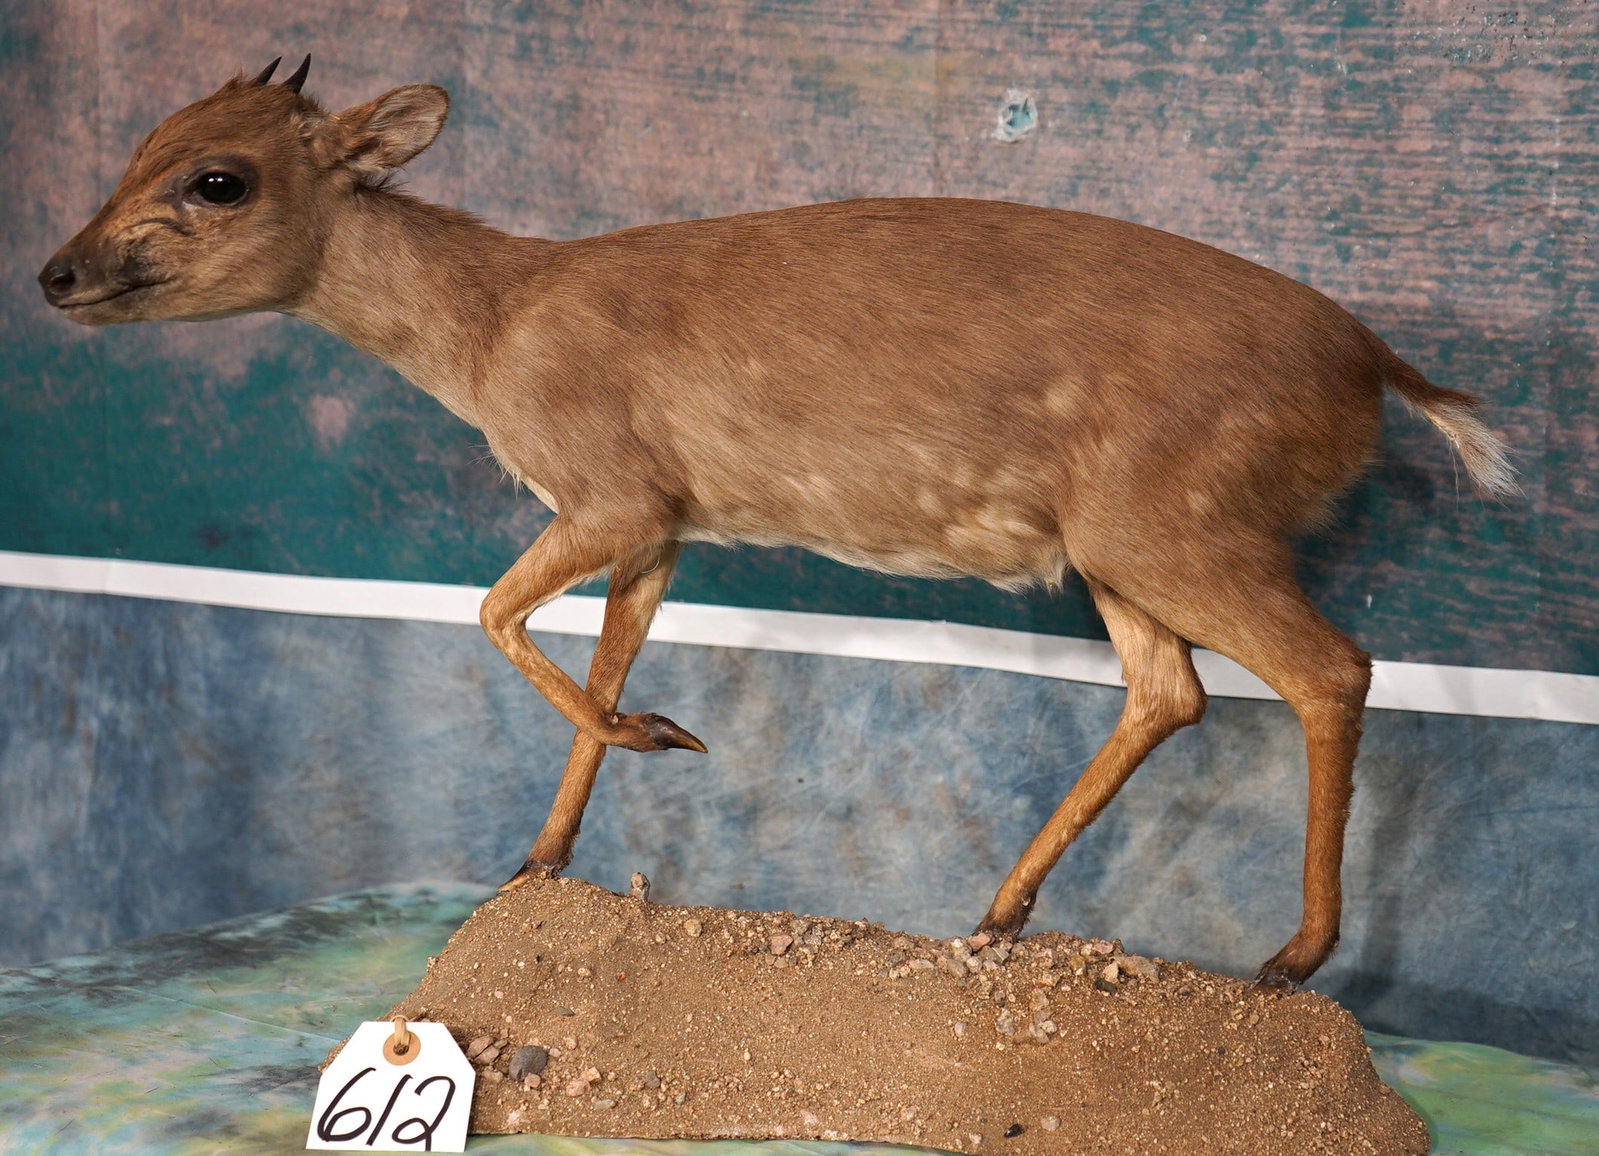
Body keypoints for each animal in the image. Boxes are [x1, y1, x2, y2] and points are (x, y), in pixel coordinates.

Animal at [40, 58, 1515, 990]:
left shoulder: (611, 484)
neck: (491, 330)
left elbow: (494, 612)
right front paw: (544, 857)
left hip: (1178, 518)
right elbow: (601, 655)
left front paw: (659, 740)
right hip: (1120, 545)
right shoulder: (661, 524)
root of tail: (1381, 368)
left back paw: (1289, 960)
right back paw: (994, 916)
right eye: (132, 148)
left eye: (217, 178)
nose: (56, 273)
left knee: (1329, 668)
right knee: (1172, 691)